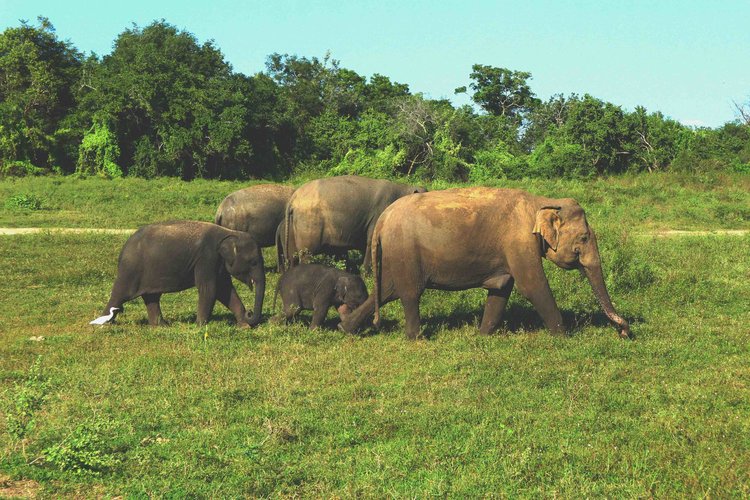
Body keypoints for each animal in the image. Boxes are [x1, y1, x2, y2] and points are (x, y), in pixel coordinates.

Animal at [92, 221, 268, 326]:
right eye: (253, 262)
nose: (249, 312)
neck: (228, 233)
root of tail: (123, 248)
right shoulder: (206, 258)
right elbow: (210, 289)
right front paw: (200, 326)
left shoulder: (218, 263)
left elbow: (225, 290)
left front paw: (244, 326)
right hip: (130, 270)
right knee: (120, 295)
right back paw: (105, 324)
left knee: (151, 297)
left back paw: (161, 326)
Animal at [282, 175, 426, 270]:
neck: (404, 188)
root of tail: (293, 198)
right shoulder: (379, 213)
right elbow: (371, 241)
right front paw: (367, 274)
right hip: (308, 224)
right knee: (307, 254)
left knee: (294, 255)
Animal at [342, 188, 636, 340]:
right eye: (584, 237)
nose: (625, 331)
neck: (542, 202)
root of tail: (383, 218)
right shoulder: (519, 242)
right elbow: (533, 286)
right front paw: (564, 337)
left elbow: (501, 289)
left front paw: (482, 336)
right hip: (405, 249)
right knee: (410, 293)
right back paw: (417, 338)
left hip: (397, 252)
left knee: (388, 290)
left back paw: (345, 327)